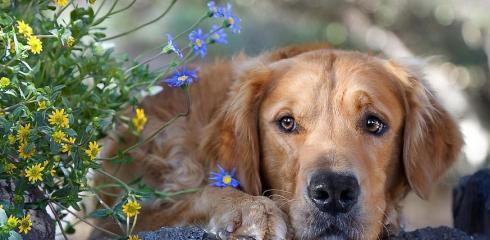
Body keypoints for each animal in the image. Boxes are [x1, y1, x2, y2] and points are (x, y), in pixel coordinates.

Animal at [95, 43, 464, 240]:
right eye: (287, 122)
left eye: (374, 123)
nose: (333, 192)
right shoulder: (119, 221)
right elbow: (198, 195)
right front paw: (248, 209)